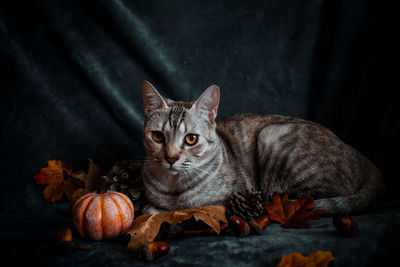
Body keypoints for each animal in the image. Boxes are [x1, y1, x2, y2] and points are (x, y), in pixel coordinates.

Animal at [141, 80, 384, 216]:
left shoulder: (226, 198)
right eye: (158, 136)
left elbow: (187, 207)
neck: (173, 189)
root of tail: (361, 156)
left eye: (191, 139)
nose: (171, 158)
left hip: (272, 135)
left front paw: (159, 209)